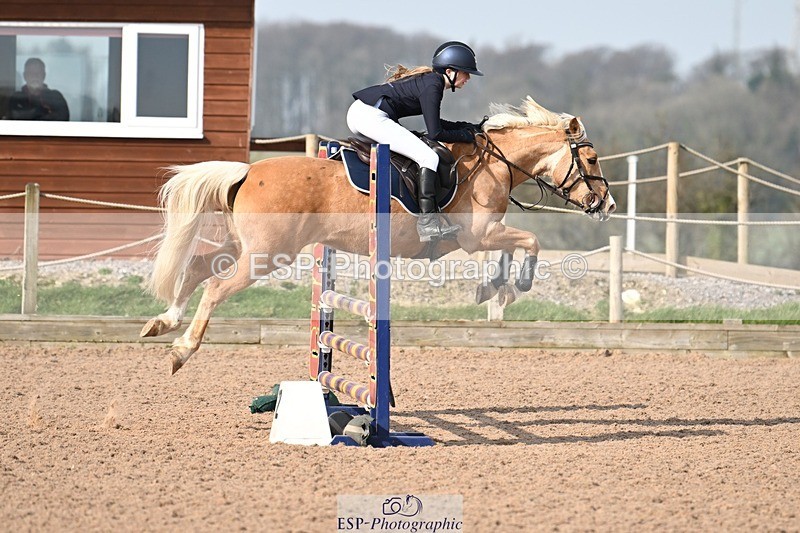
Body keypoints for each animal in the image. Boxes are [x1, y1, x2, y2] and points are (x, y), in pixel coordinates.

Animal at [141, 96, 617, 374]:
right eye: (592, 158)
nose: (608, 205)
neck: (496, 163)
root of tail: (248, 170)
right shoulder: (478, 236)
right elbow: (530, 242)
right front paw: (512, 286)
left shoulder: (485, 237)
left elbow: (519, 246)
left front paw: (494, 287)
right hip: (267, 254)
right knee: (216, 287)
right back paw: (181, 349)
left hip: (244, 246)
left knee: (197, 266)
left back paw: (163, 322)